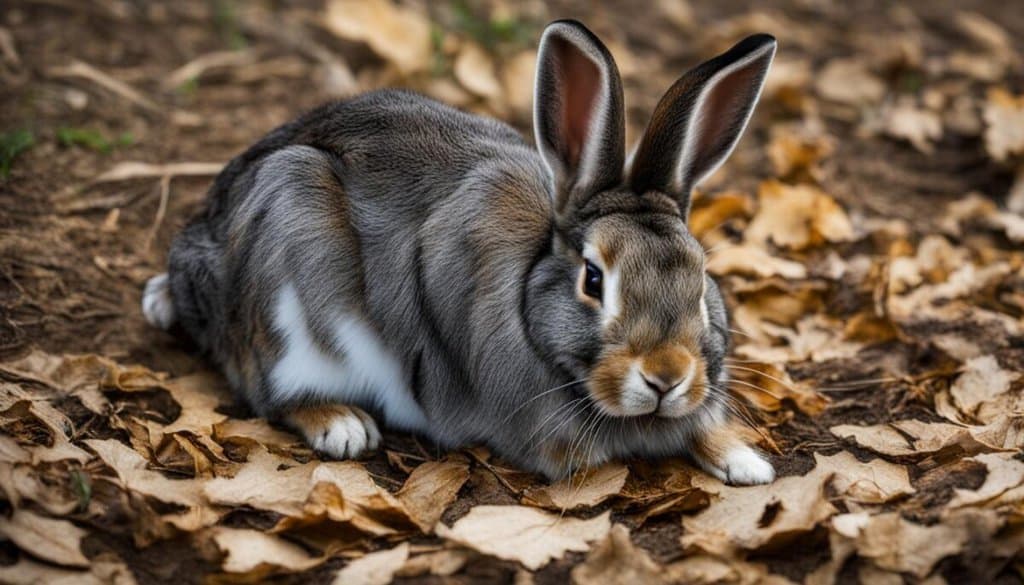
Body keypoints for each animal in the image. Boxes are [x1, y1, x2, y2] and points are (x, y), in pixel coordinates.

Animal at [142, 19, 777, 485]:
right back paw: (341, 424)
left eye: (701, 279)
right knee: (267, 387)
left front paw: (747, 463)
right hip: (284, 256)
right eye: (594, 280)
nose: (667, 377)